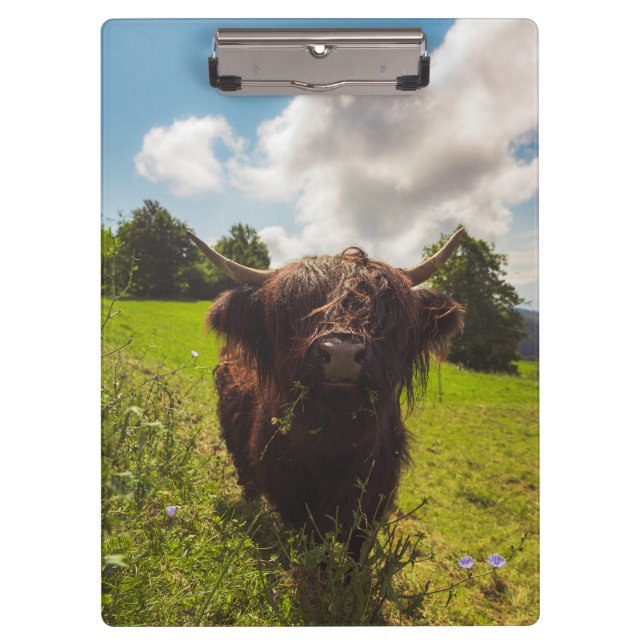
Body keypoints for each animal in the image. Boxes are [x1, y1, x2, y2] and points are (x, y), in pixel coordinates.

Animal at [188, 229, 464, 560]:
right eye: (295, 309)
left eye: (384, 311)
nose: (342, 353)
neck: (335, 438)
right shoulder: (294, 497)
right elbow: (313, 543)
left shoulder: (373, 499)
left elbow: (357, 551)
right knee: (249, 483)